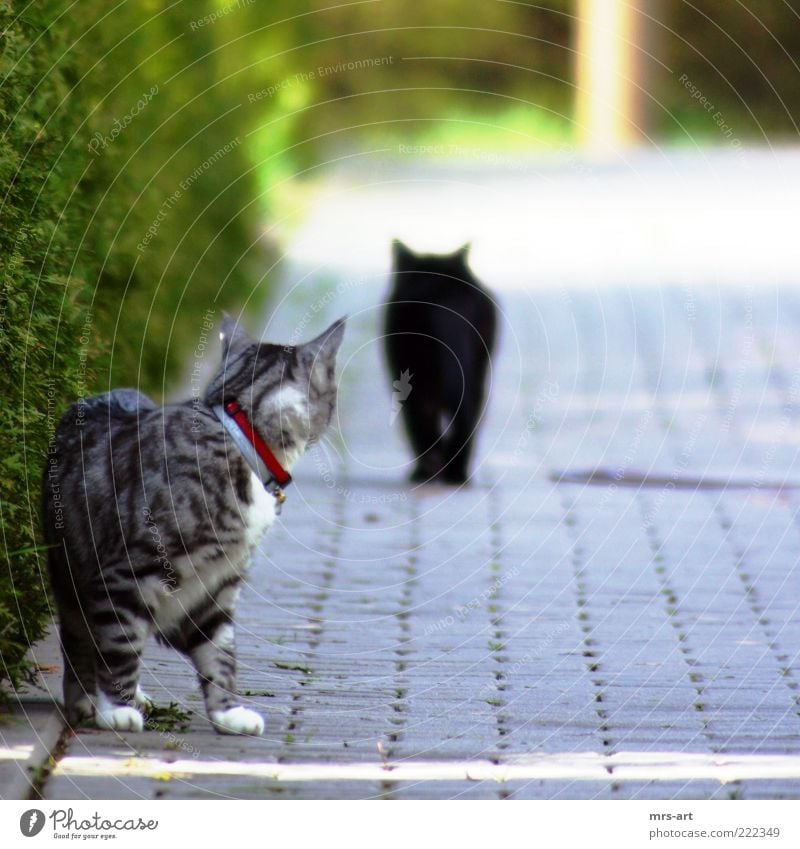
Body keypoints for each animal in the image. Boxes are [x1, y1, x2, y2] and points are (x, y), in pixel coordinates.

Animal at [43, 316, 344, 736]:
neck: (241, 438)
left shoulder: (218, 584)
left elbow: (218, 649)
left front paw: (227, 712)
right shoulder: (125, 572)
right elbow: (120, 642)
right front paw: (115, 707)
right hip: (70, 571)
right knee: (80, 639)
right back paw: (88, 699)